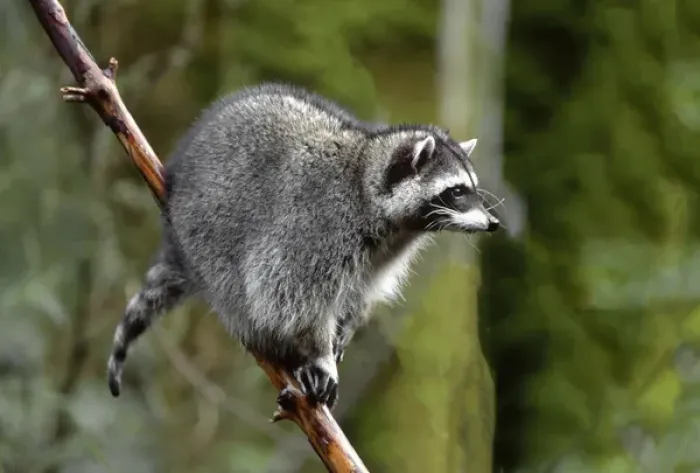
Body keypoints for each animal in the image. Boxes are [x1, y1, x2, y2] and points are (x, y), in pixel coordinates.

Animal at [107, 83, 499, 408]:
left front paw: (344, 328)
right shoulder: (315, 226)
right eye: (457, 191)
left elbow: (361, 292)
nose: (493, 223)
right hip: (206, 238)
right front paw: (319, 353)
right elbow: (291, 299)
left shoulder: (384, 252)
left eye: (471, 188)